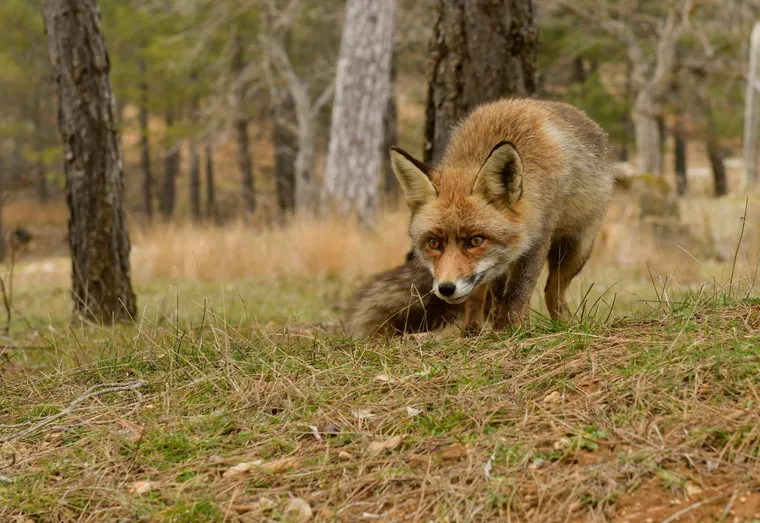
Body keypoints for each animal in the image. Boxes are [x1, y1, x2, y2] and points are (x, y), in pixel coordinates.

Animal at [346, 98, 614, 337]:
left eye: (475, 241)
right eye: (433, 243)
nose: (446, 288)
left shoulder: (538, 237)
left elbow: (518, 292)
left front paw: (508, 330)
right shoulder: (499, 264)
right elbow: (498, 295)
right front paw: (501, 327)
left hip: (577, 248)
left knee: (552, 291)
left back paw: (563, 324)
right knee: (478, 298)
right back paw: (473, 331)